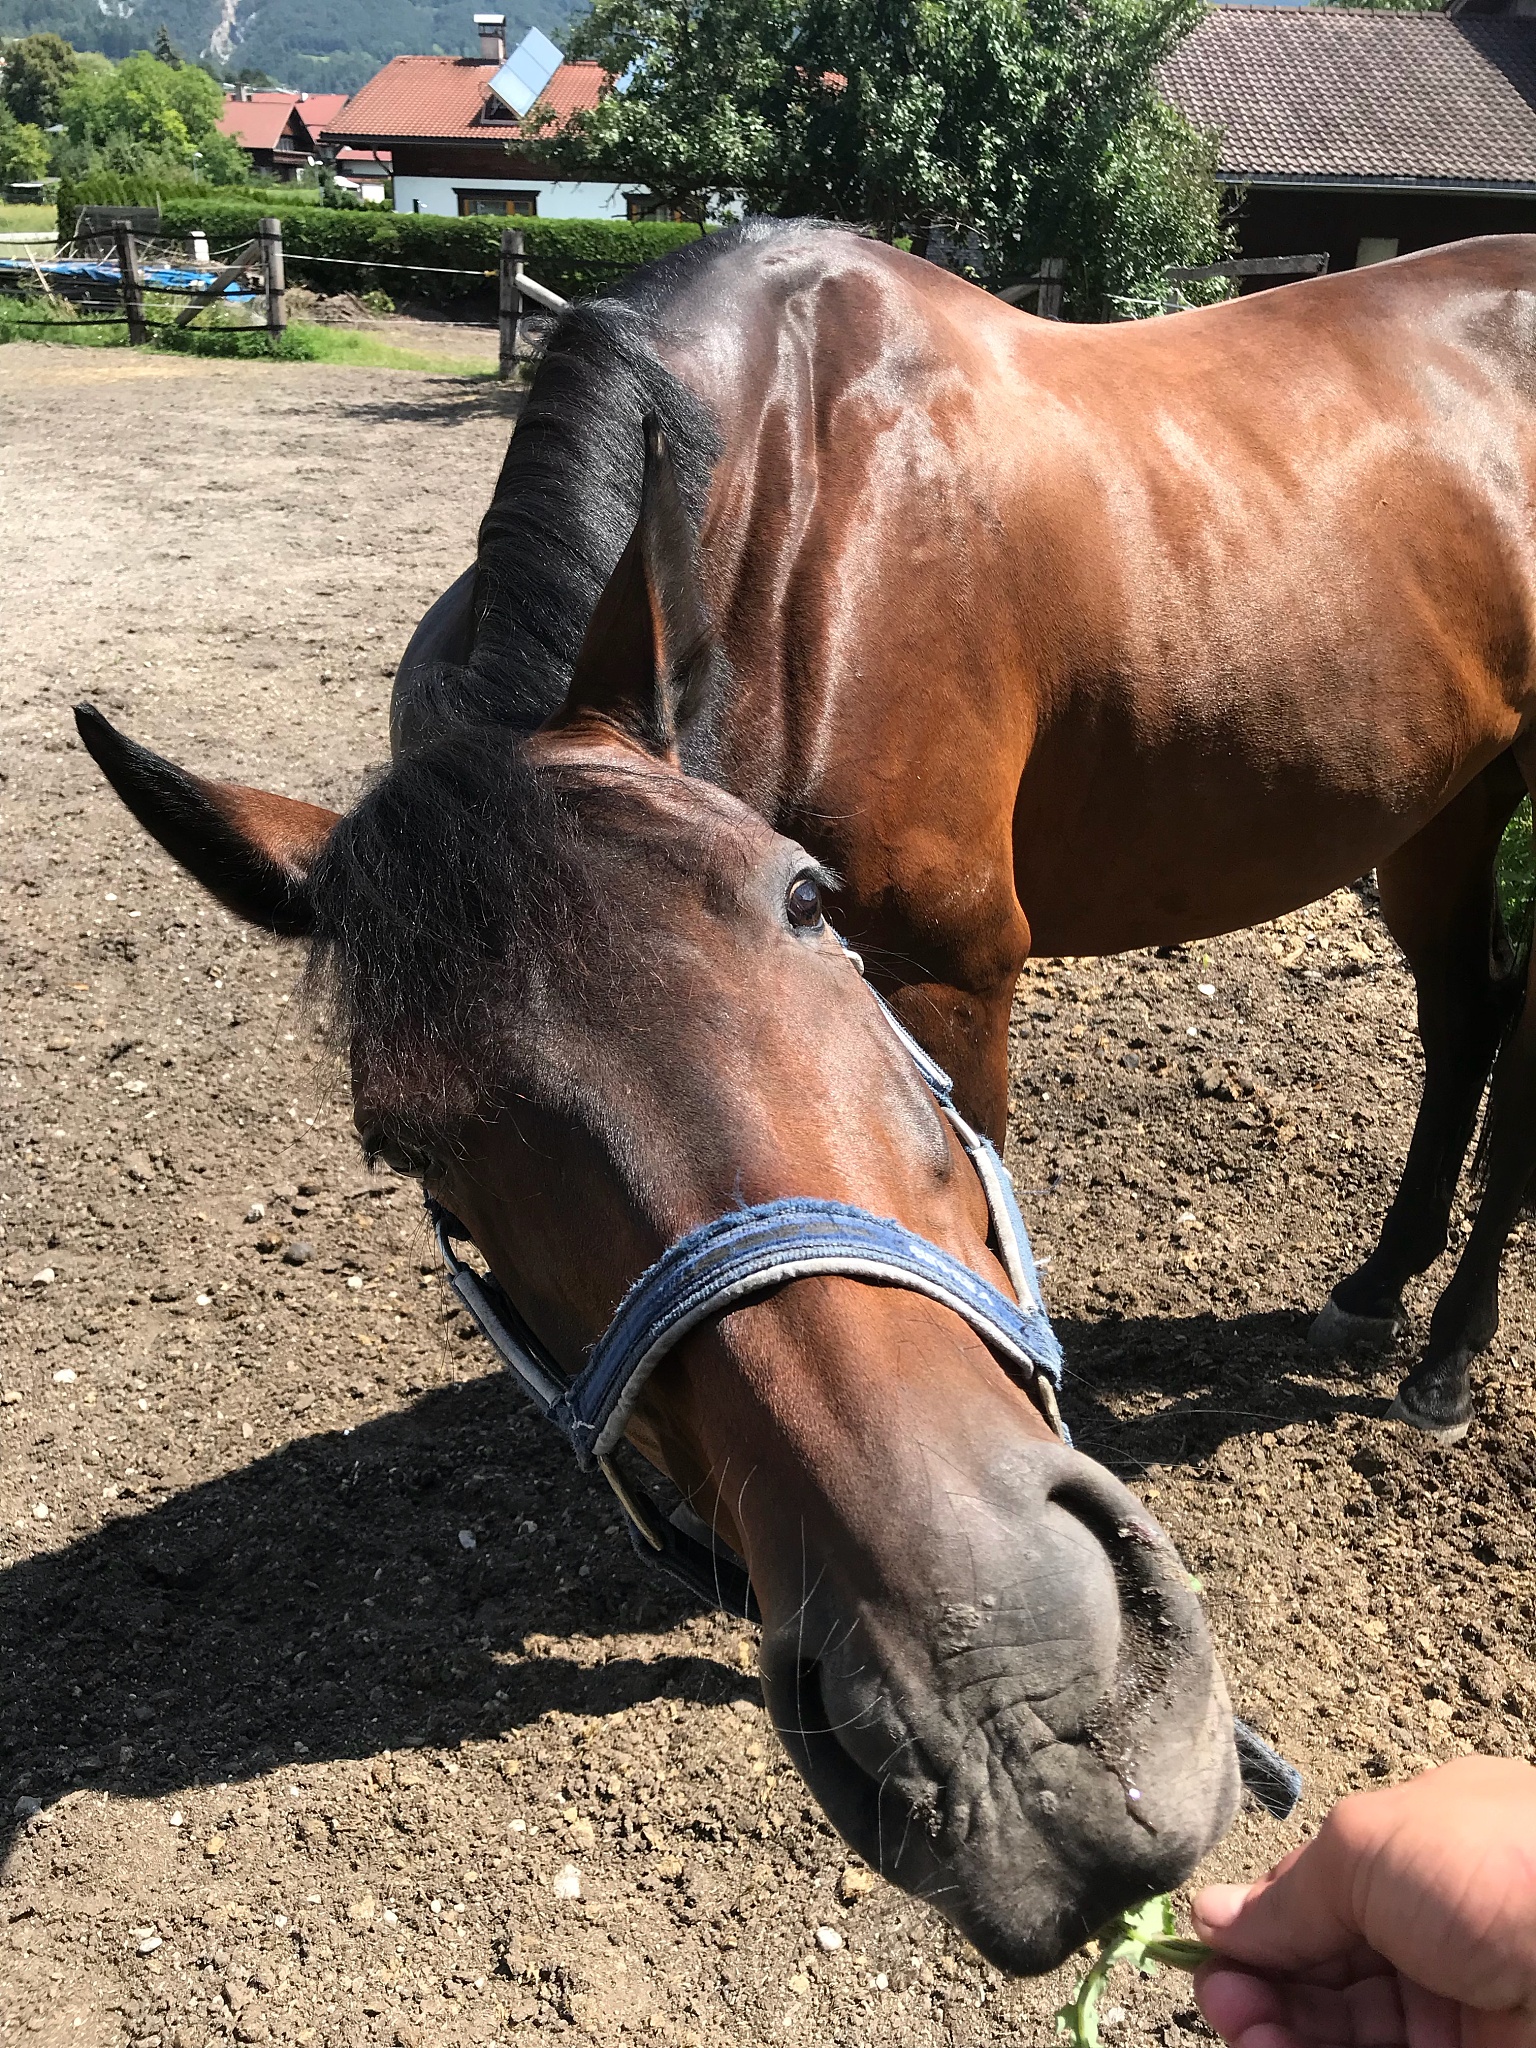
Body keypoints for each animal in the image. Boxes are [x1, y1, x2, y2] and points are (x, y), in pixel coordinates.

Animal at [74, 220, 1534, 1970]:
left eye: (804, 903)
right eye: (405, 1144)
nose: (1017, 1728)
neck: (792, 520)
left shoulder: (958, 966)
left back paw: (1448, 1356)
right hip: (1440, 807)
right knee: (1469, 1018)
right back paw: (1381, 1289)